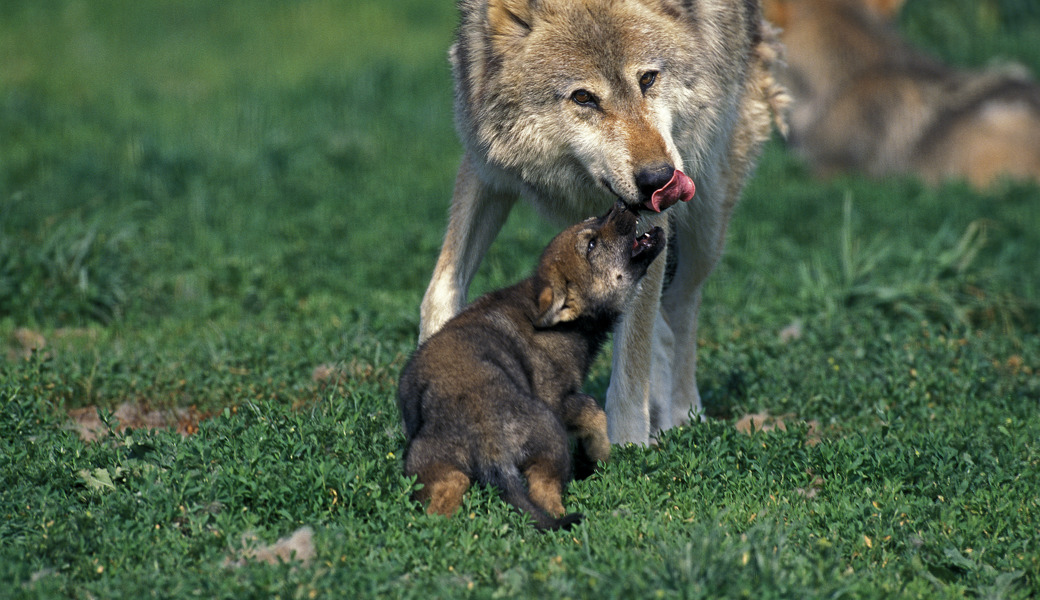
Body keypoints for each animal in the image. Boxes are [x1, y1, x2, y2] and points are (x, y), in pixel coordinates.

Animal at [401, 202, 661, 528]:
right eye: (591, 244)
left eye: (593, 219)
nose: (621, 204)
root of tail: (487, 438)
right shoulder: (557, 398)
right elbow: (594, 411)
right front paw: (598, 456)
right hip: (552, 442)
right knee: (545, 496)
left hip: (429, 465)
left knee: (447, 496)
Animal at [416, 0, 786, 442]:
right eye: (583, 97)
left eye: (647, 79)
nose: (659, 179)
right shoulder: (485, 167)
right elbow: (441, 290)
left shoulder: (652, 225)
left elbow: (631, 360)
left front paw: (628, 446)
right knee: (663, 330)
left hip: (707, 218)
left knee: (682, 308)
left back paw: (684, 415)